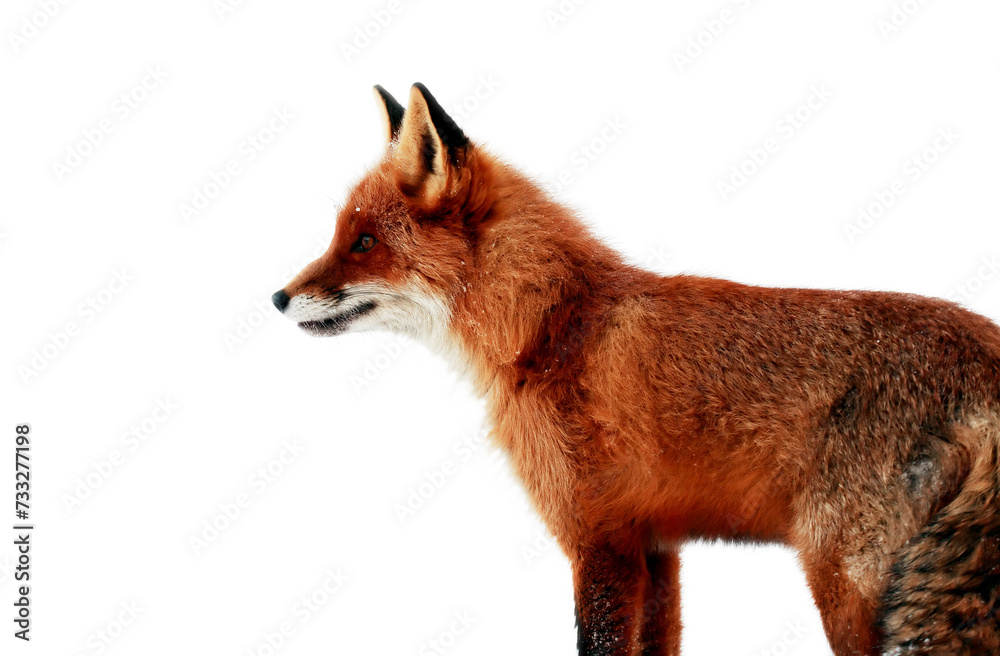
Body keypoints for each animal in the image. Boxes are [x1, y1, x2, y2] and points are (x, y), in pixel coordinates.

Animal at [272, 83, 1000, 655]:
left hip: (847, 581)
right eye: (341, 235)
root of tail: (985, 352)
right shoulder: (656, 548)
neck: (550, 325)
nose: (278, 298)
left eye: (365, 242)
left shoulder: (599, 541)